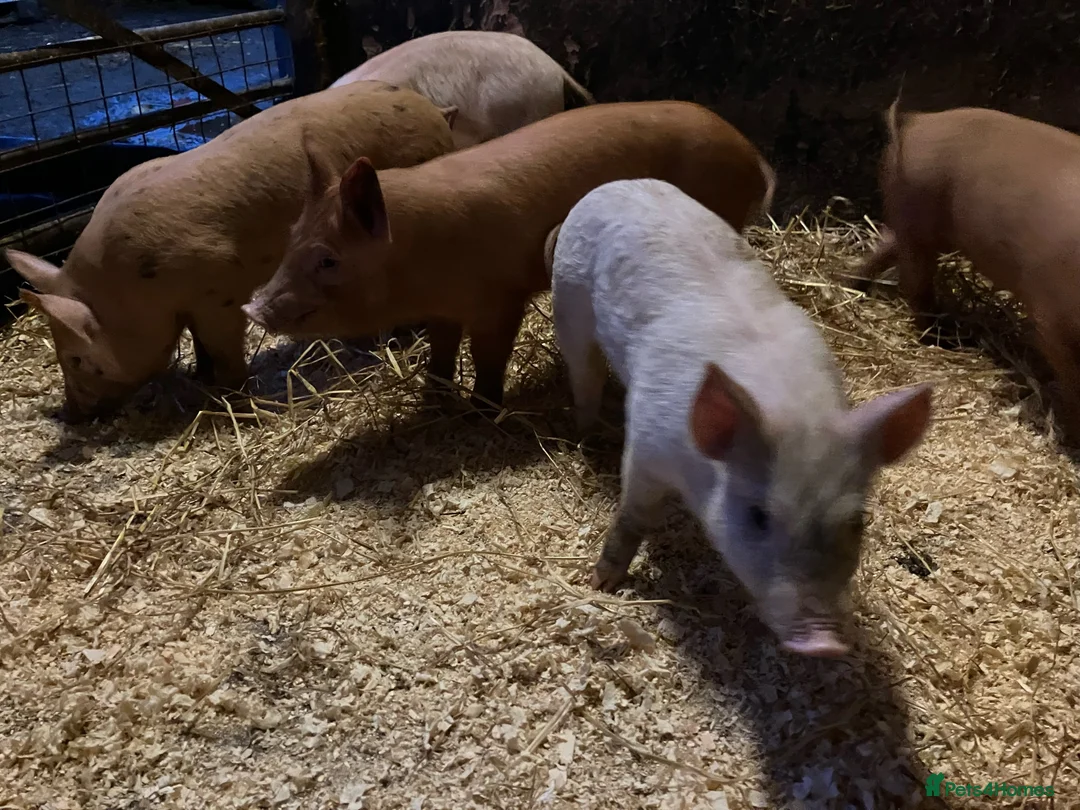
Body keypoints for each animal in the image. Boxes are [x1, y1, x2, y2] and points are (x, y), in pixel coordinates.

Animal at [6, 80, 457, 422]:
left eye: (75, 359)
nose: (69, 414)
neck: (129, 289)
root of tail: (433, 111)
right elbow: (198, 341)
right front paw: (200, 375)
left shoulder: (219, 289)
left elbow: (222, 344)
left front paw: (229, 393)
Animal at [242, 100, 776, 410]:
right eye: (292, 234)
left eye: (328, 260)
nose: (253, 306)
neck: (421, 253)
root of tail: (751, 152)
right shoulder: (443, 309)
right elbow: (441, 349)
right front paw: (433, 398)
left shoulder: (499, 300)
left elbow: (489, 354)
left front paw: (483, 408)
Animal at [549, 178, 933, 657]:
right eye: (757, 516)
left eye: (857, 523)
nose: (824, 642)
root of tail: (615, 184)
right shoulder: (648, 443)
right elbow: (632, 516)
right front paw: (601, 583)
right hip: (568, 297)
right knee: (583, 372)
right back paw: (587, 433)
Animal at [851, 102, 1080, 440]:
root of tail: (915, 122)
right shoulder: (1051, 323)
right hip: (917, 220)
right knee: (915, 282)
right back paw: (938, 339)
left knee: (885, 247)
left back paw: (850, 282)